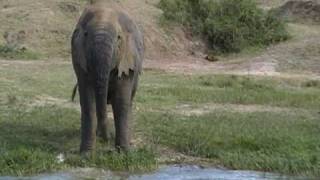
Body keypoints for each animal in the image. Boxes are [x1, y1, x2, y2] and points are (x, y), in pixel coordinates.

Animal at [71, 1, 144, 153]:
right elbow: (88, 102)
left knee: (129, 102)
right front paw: (86, 154)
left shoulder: (127, 59)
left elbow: (121, 102)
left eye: (119, 38)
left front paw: (124, 153)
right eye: (86, 34)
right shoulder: (78, 59)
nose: (106, 139)